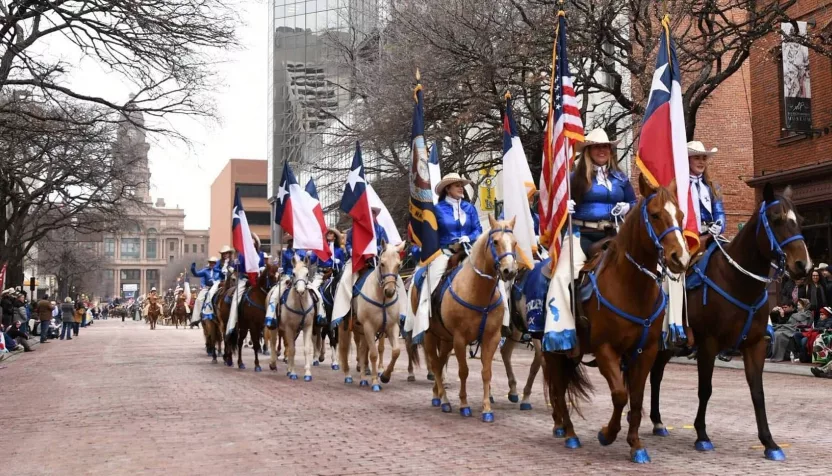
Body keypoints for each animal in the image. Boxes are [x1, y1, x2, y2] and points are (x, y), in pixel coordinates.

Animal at [422, 215, 520, 420]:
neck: (477, 292)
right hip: (430, 336)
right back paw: (444, 400)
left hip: (446, 339)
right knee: (435, 364)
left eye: (515, 242)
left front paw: (487, 409)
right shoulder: (460, 338)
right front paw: (464, 404)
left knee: (440, 363)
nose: (510, 271)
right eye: (495, 241)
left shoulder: (491, 337)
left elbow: (486, 372)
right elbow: (463, 371)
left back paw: (438, 395)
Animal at [540, 175, 688, 462]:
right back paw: (570, 433)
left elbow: (637, 397)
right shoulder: (605, 349)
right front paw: (606, 434)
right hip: (553, 351)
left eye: (681, 215)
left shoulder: (645, 351)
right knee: (559, 390)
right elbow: (620, 394)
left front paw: (636, 445)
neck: (631, 287)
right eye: (655, 215)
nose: (680, 257)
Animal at [648, 183, 808, 462]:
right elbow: (705, 389)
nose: (802, 264)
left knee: (656, 376)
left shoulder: (754, 345)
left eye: (798, 220)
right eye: (776, 219)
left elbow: (757, 392)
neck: (737, 281)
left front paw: (769, 442)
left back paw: (657, 422)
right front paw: (702, 435)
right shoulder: (708, 344)